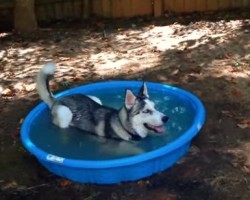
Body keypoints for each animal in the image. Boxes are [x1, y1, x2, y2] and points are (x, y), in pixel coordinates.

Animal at [36, 62, 169, 141]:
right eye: (146, 111)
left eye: (155, 107)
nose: (166, 118)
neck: (123, 125)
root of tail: (57, 98)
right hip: (65, 113)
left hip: (95, 98)